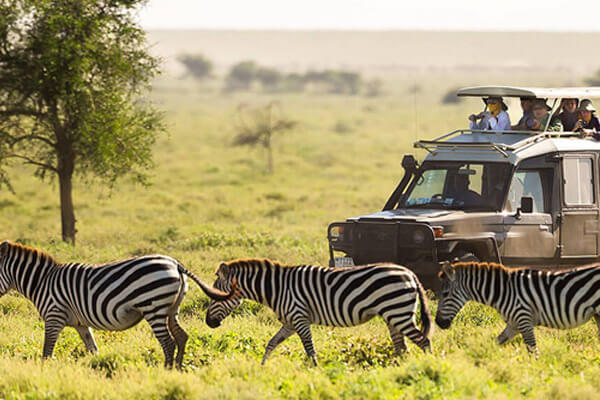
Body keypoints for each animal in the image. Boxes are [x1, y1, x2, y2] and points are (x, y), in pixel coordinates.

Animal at [0, 241, 237, 368]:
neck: (41, 281)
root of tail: (175, 263)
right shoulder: (80, 324)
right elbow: (92, 349)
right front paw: (98, 369)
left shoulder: (54, 316)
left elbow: (47, 351)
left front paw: (44, 371)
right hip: (172, 309)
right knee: (181, 337)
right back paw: (178, 369)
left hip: (154, 307)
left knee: (168, 342)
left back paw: (166, 371)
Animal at [206, 260, 432, 366]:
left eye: (215, 296)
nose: (208, 323)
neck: (277, 288)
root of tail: (409, 273)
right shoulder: (289, 323)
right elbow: (271, 343)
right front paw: (261, 367)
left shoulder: (299, 317)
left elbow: (309, 348)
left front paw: (316, 371)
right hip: (393, 314)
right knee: (401, 346)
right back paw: (398, 368)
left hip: (399, 312)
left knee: (423, 341)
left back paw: (429, 367)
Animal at [436, 260, 600, 358]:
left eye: (445, 294)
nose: (438, 323)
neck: (503, 291)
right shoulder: (513, 324)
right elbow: (495, 342)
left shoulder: (524, 320)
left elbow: (533, 351)